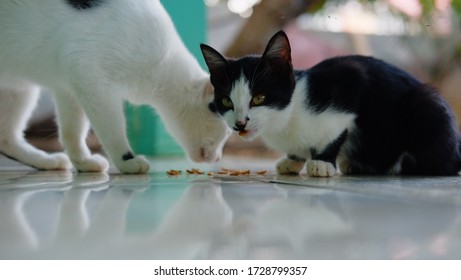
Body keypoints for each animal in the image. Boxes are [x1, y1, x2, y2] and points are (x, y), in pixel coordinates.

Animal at [0, 0, 230, 174]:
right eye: (227, 133)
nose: (218, 158)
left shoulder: (69, 85)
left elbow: (72, 131)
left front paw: (83, 162)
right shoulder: (86, 71)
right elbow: (112, 127)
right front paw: (126, 160)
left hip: (18, 89)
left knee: (6, 138)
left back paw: (48, 161)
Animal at [201, 30, 460, 175]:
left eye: (258, 98)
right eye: (226, 101)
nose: (240, 124)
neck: (287, 117)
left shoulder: (351, 77)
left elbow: (336, 131)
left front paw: (322, 162)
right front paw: (293, 160)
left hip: (426, 105)